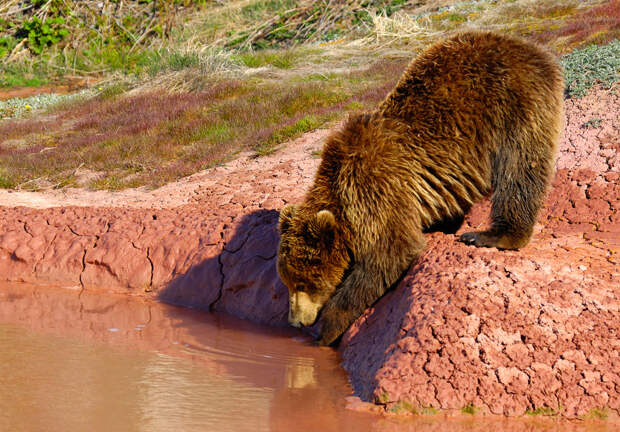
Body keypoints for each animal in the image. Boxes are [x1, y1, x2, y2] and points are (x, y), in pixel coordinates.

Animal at [278, 32, 564, 346]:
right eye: (287, 280)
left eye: (303, 282)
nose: (294, 321)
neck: (341, 193)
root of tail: (529, 48)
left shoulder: (376, 185)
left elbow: (391, 251)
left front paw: (326, 328)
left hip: (513, 104)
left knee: (520, 170)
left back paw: (491, 235)